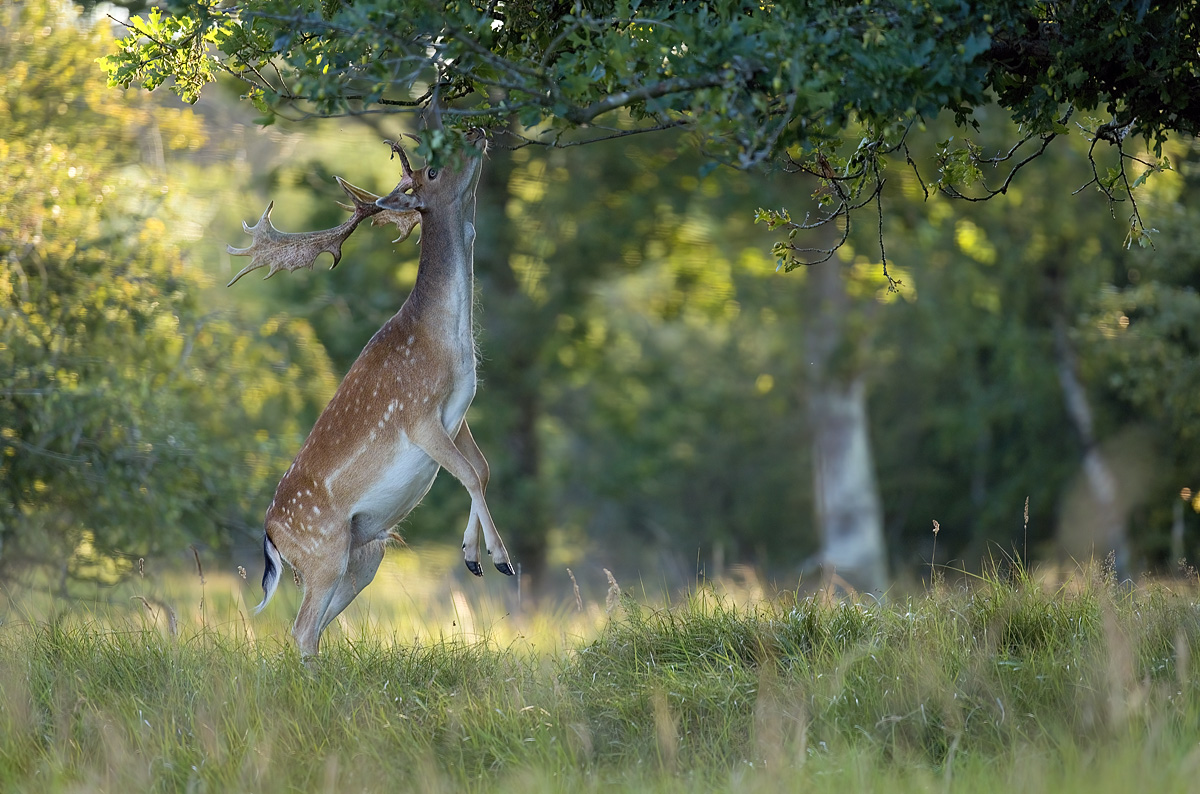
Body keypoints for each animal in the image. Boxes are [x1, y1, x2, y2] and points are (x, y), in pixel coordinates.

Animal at [226, 127, 513, 657]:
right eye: (433, 169)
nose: (478, 131)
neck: (446, 343)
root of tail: (270, 536)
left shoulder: (458, 414)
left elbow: (481, 471)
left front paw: (473, 556)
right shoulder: (418, 414)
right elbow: (468, 473)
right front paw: (499, 559)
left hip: (365, 554)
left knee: (311, 628)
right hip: (322, 553)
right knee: (301, 629)